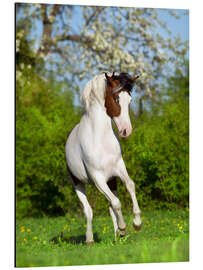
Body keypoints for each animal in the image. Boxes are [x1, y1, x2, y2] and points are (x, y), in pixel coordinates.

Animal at [66, 71, 142, 245]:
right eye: (116, 99)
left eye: (130, 100)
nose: (126, 131)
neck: (100, 140)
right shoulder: (98, 179)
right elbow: (116, 202)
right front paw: (123, 227)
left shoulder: (119, 170)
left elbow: (130, 186)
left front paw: (136, 223)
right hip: (78, 183)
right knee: (88, 210)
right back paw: (89, 239)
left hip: (111, 181)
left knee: (110, 206)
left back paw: (117, 237)